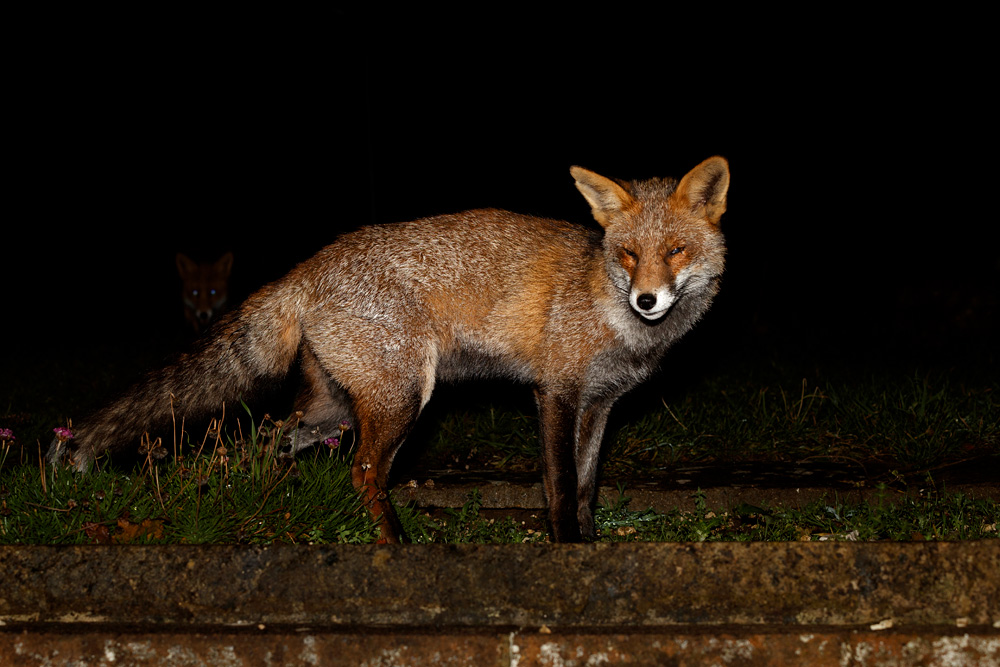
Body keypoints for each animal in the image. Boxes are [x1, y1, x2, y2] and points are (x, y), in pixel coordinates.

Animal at [49, 157, 730, 543]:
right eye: (628, 254)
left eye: (675, 252)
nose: (647, 300)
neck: (611, 310)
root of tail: (307, 266)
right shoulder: (556, 393)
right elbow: (561, 487)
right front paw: (567, 550)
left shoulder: (600, 405)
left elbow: (587, 488)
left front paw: (589, 544)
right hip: (400, 397)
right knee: (364, 472)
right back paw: (395, 546)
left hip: (334, 409)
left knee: (263, 444)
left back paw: (265, 512)